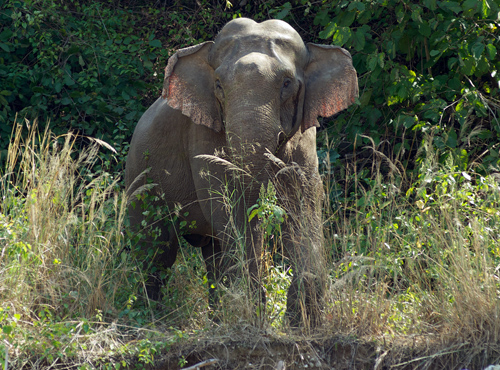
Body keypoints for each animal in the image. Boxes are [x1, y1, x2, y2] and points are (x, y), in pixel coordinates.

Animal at [127, 17, 358, 326]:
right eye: (218, 85)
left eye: (287, 83)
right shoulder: (203, 132)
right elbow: (230, 205)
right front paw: (251, 311)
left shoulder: (304, 138)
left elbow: (303, 204)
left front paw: (303, 319)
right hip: (140, 176)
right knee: (156, 251)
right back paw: (150, 319)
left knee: (211, 253)